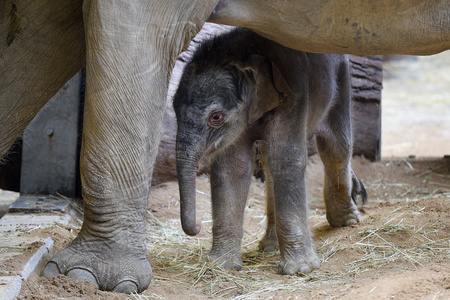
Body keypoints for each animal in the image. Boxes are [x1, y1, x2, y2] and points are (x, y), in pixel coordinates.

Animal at [172, 27, 366, 274]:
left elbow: (285, 158)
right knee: (269, 163)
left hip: (341, 80)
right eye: (173, 109)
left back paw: (347, 221)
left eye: (216, 117)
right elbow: (231, 167)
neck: (242, 53)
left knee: (336, 147)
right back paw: (270, 246)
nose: (197, 227)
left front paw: (300, 270)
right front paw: (221, 265)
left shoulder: (294, 92)